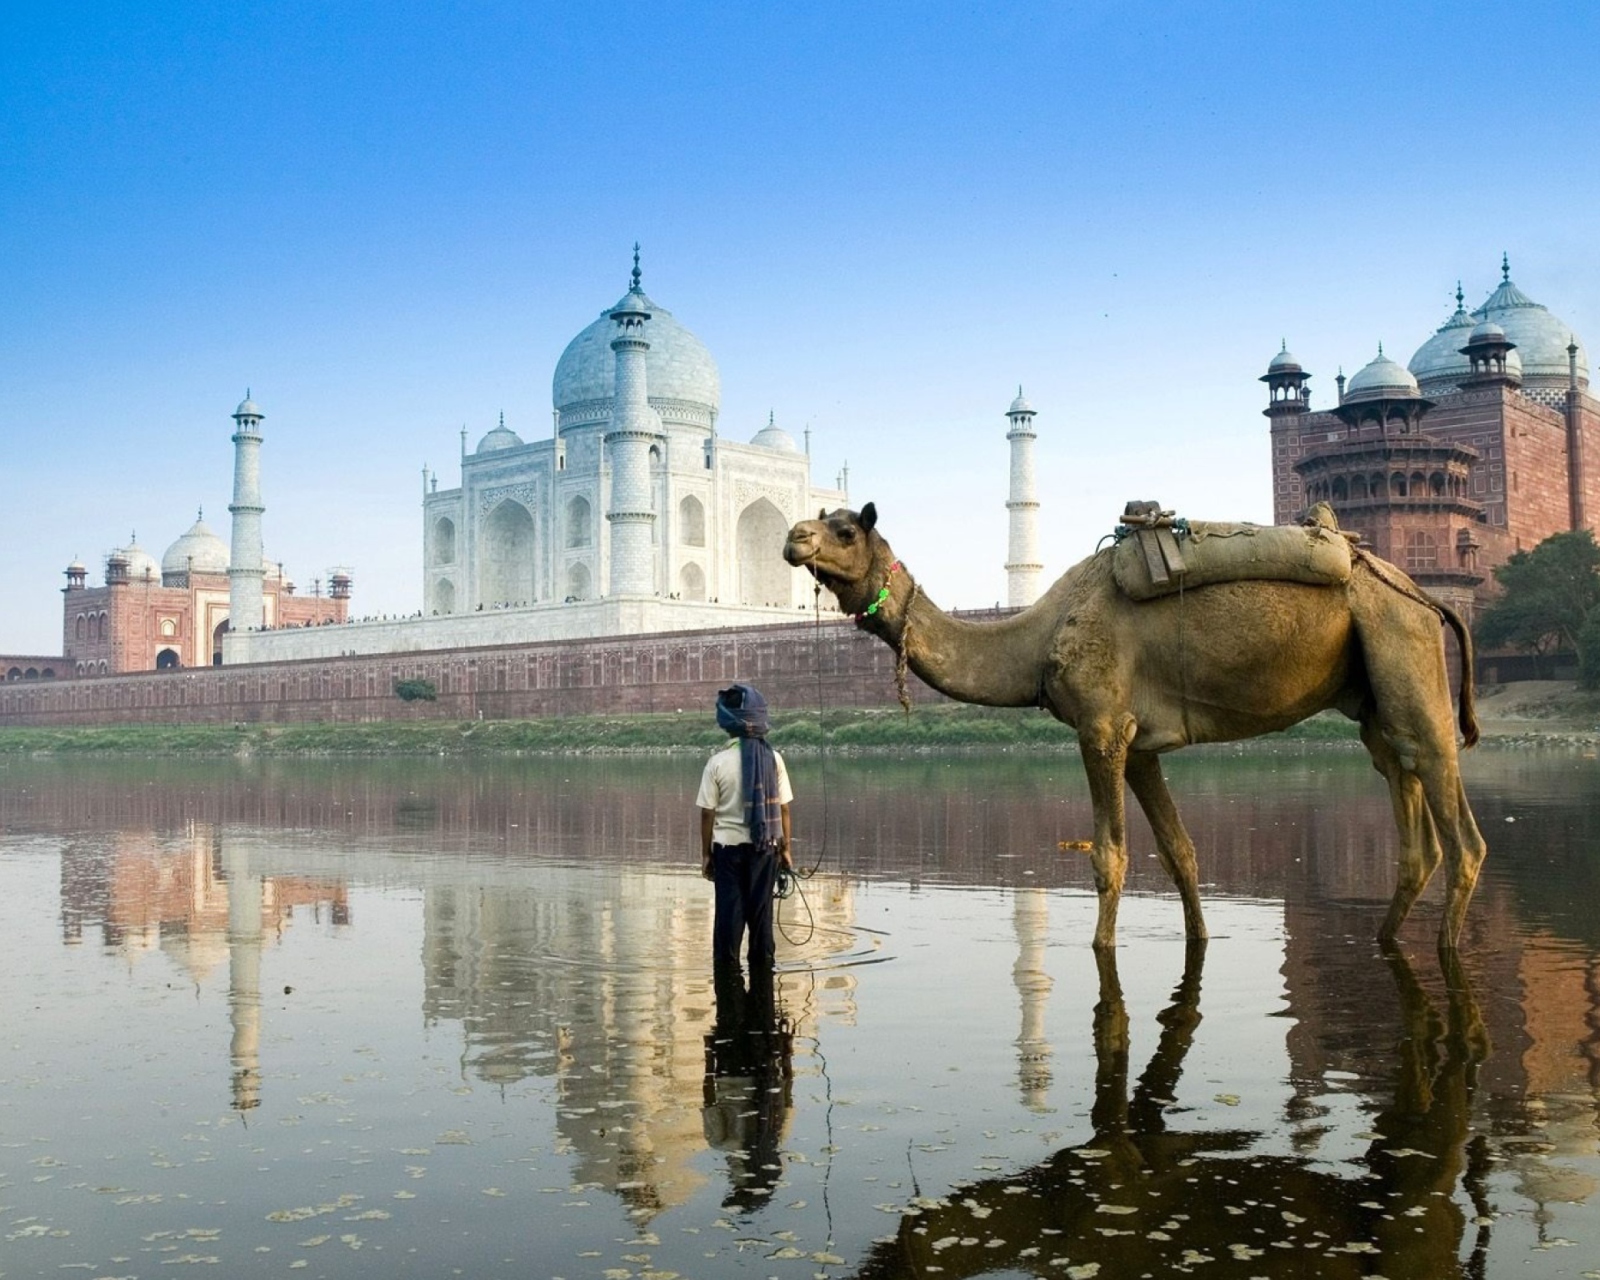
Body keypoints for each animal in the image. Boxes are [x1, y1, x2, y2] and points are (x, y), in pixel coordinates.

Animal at [784, 499, 1484, 947]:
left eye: (844, 530)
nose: (794, 537)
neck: (1038, 638)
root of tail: (1426, 596)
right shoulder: (1140, 743)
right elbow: (1180, 852)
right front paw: (1200, 938)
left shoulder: (1100, 726)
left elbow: (1110, 857)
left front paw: (1102, 948)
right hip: (1373, 695)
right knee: (1408, 808)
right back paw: (1385, 940)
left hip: (1403, 644)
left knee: (1459, 825)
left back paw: (1446, 948)